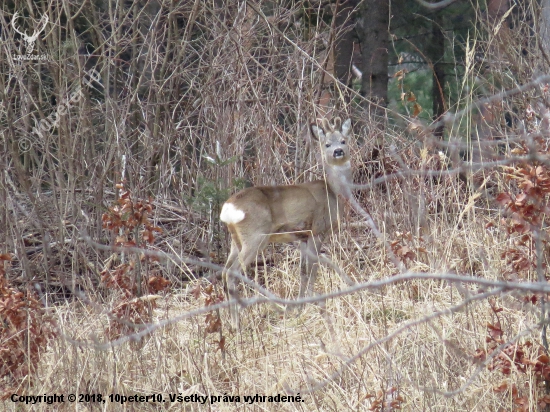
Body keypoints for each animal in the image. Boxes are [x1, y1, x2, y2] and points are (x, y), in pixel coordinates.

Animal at [220, 117, 354, 326]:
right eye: (327, 144)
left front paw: (300, 305)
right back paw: (239, 323)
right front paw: (308, 304)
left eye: (343, 141)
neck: (333, 192)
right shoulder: (317, 229)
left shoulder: (302, 236)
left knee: (224, 272)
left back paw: (230, 321)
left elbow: (305, 269)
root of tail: (228, 209)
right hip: (255, 236)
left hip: (236, 240)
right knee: (233, 273)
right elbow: (311, 269)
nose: (338, 151)